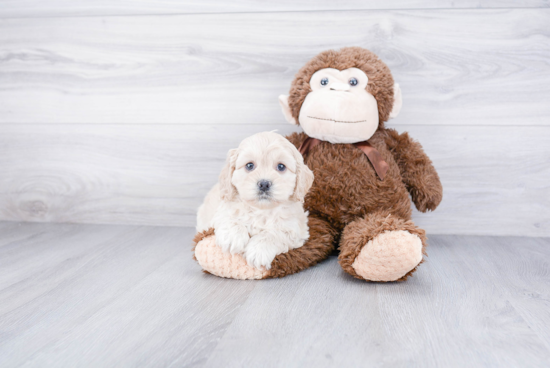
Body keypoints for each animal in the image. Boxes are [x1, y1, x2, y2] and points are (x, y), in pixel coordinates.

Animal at [197, 131, 314, 268]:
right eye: (249, 165)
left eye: (281, 166)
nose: (264, 184)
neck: (261, 210)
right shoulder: (223, 208)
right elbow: (229, 217)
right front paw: (233, 237)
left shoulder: (296, 229)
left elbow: (275, 234)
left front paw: (259, 251)